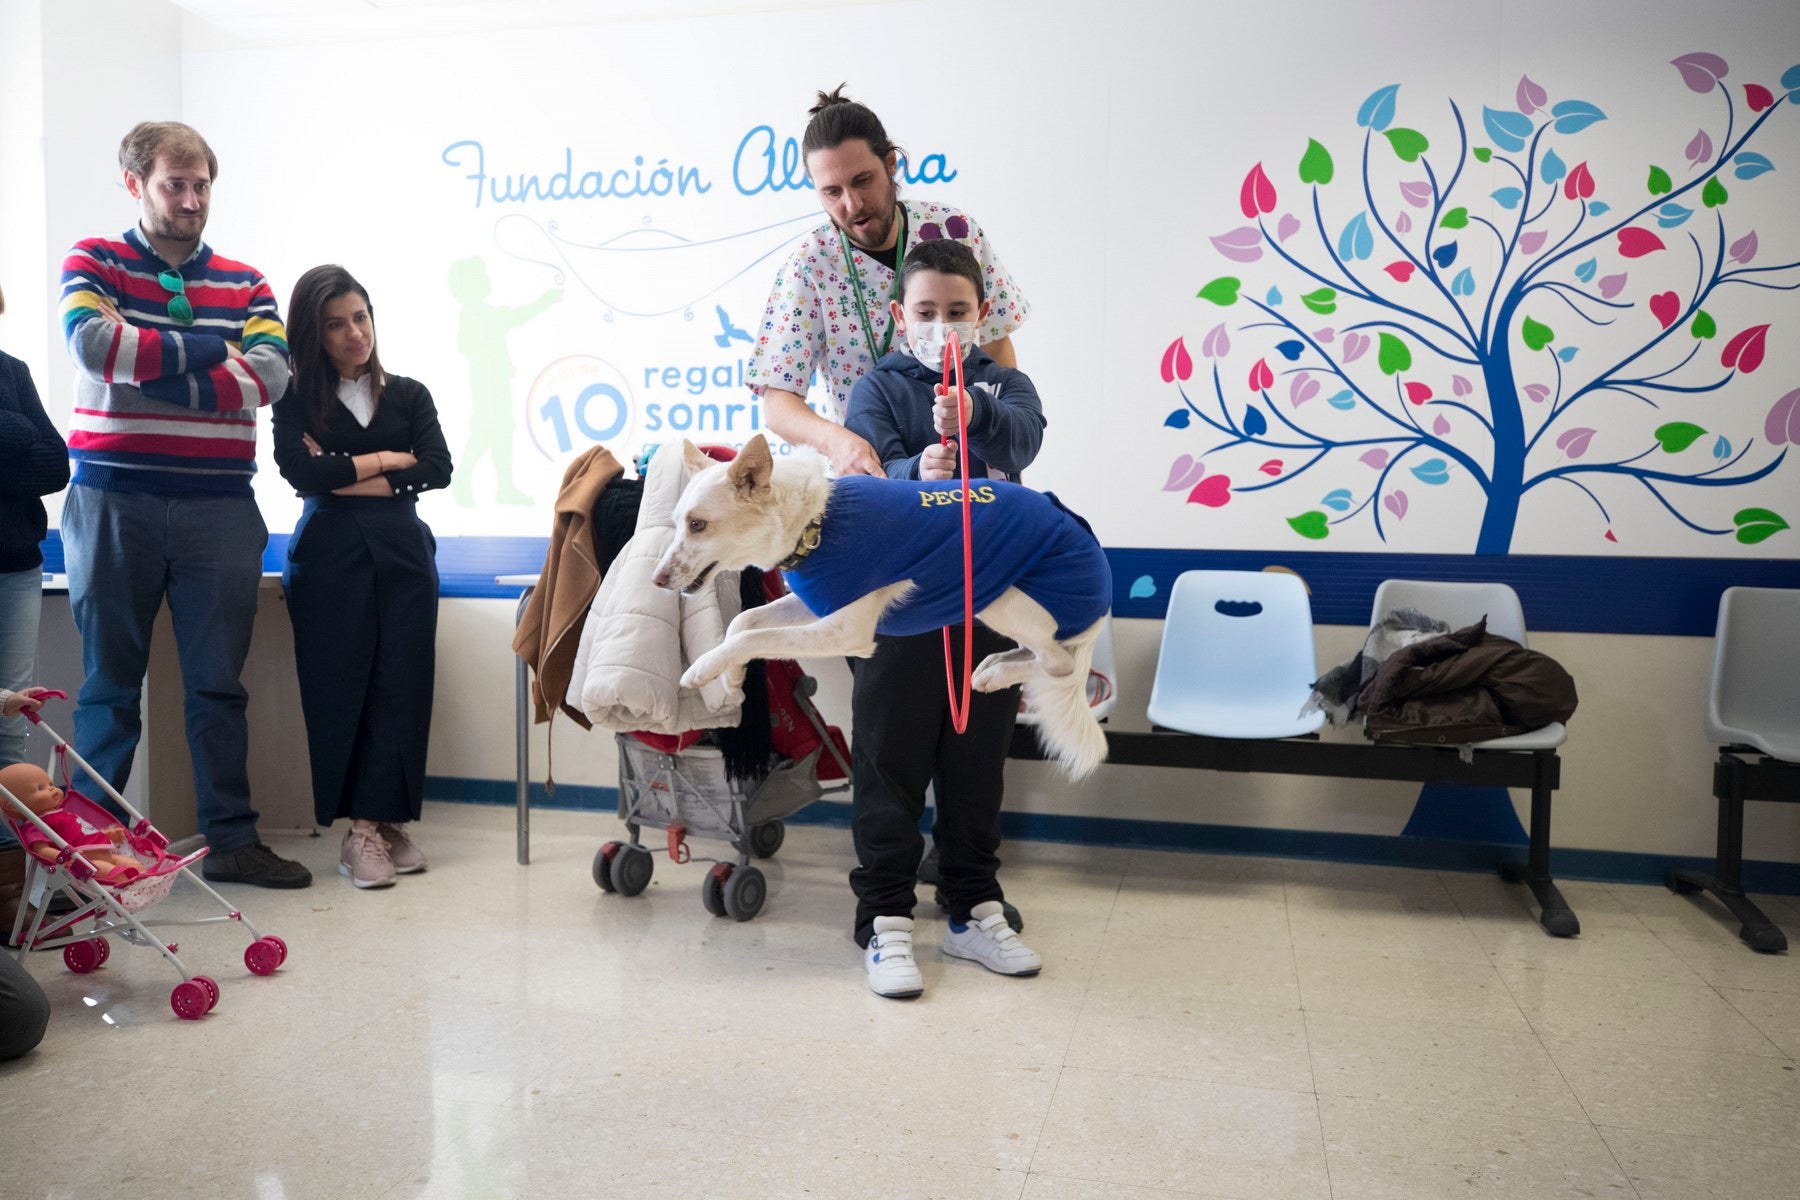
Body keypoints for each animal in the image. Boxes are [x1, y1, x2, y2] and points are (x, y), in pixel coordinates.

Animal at [651, 433, 1108, 780]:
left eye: (698, 525)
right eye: (677, 523)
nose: (657, 581)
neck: (816, 522)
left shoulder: (845, 631)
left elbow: (754, 637)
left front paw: (703, 670)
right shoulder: (818, 603)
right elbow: (743, 623)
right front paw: (732, 678)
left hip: (1002, 595)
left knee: (1059, 664)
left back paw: (1001, 673)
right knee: (1043, 655)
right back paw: (995, 667)